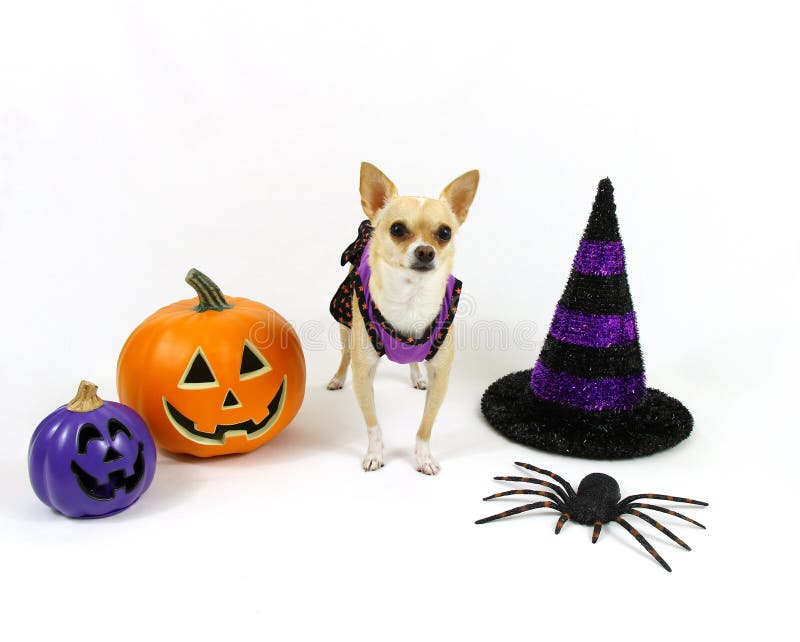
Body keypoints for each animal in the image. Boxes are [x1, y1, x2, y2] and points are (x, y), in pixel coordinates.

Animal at [328, 162, 478, 472]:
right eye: (397, 229)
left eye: (445, 232)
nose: (425, 251)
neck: (411, 299)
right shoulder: (364, 373)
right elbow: (373, 423)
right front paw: (375, 454)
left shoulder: (441, 376)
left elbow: (426, 424)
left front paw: (423, 456)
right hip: (345, 324)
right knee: (345, 356)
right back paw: (337, 378)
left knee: (413, 361)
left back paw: (416, 376)